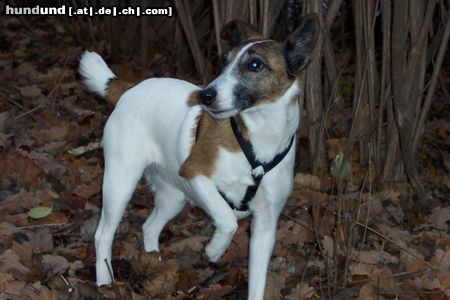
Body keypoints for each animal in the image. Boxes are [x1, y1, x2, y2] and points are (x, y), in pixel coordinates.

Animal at [80, 15, 320, 298]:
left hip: (173, 196)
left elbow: (257, 281)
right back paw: (104, 280)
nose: (206, 95)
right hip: (120, 183)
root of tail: (129, 89)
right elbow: (228, 219)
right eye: (225, 61)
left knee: (149, 227)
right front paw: (214, 249)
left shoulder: (266, 225)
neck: (258, 142)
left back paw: (154, 265)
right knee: (103, 235)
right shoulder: (195, 172)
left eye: (255, 65)